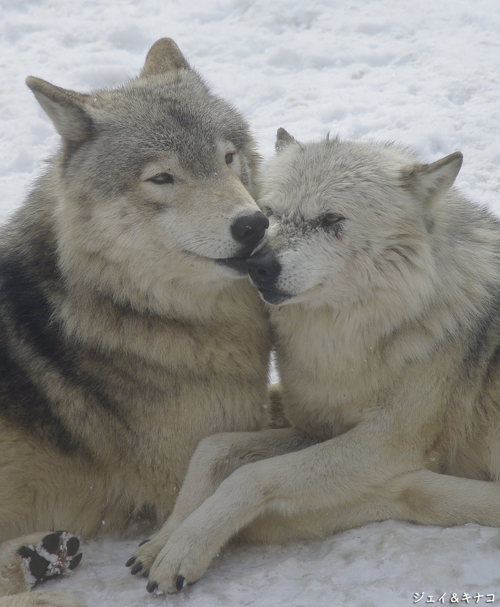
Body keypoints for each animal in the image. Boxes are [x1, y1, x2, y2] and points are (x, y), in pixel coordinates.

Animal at [127, 128, 500, 592]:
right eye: (269, 214)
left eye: (331, 219)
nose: (258, 265)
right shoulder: (317, 427)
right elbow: (213, 448)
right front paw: (163, 539)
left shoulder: (385, 443)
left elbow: (251, 476)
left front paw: (185, 547)